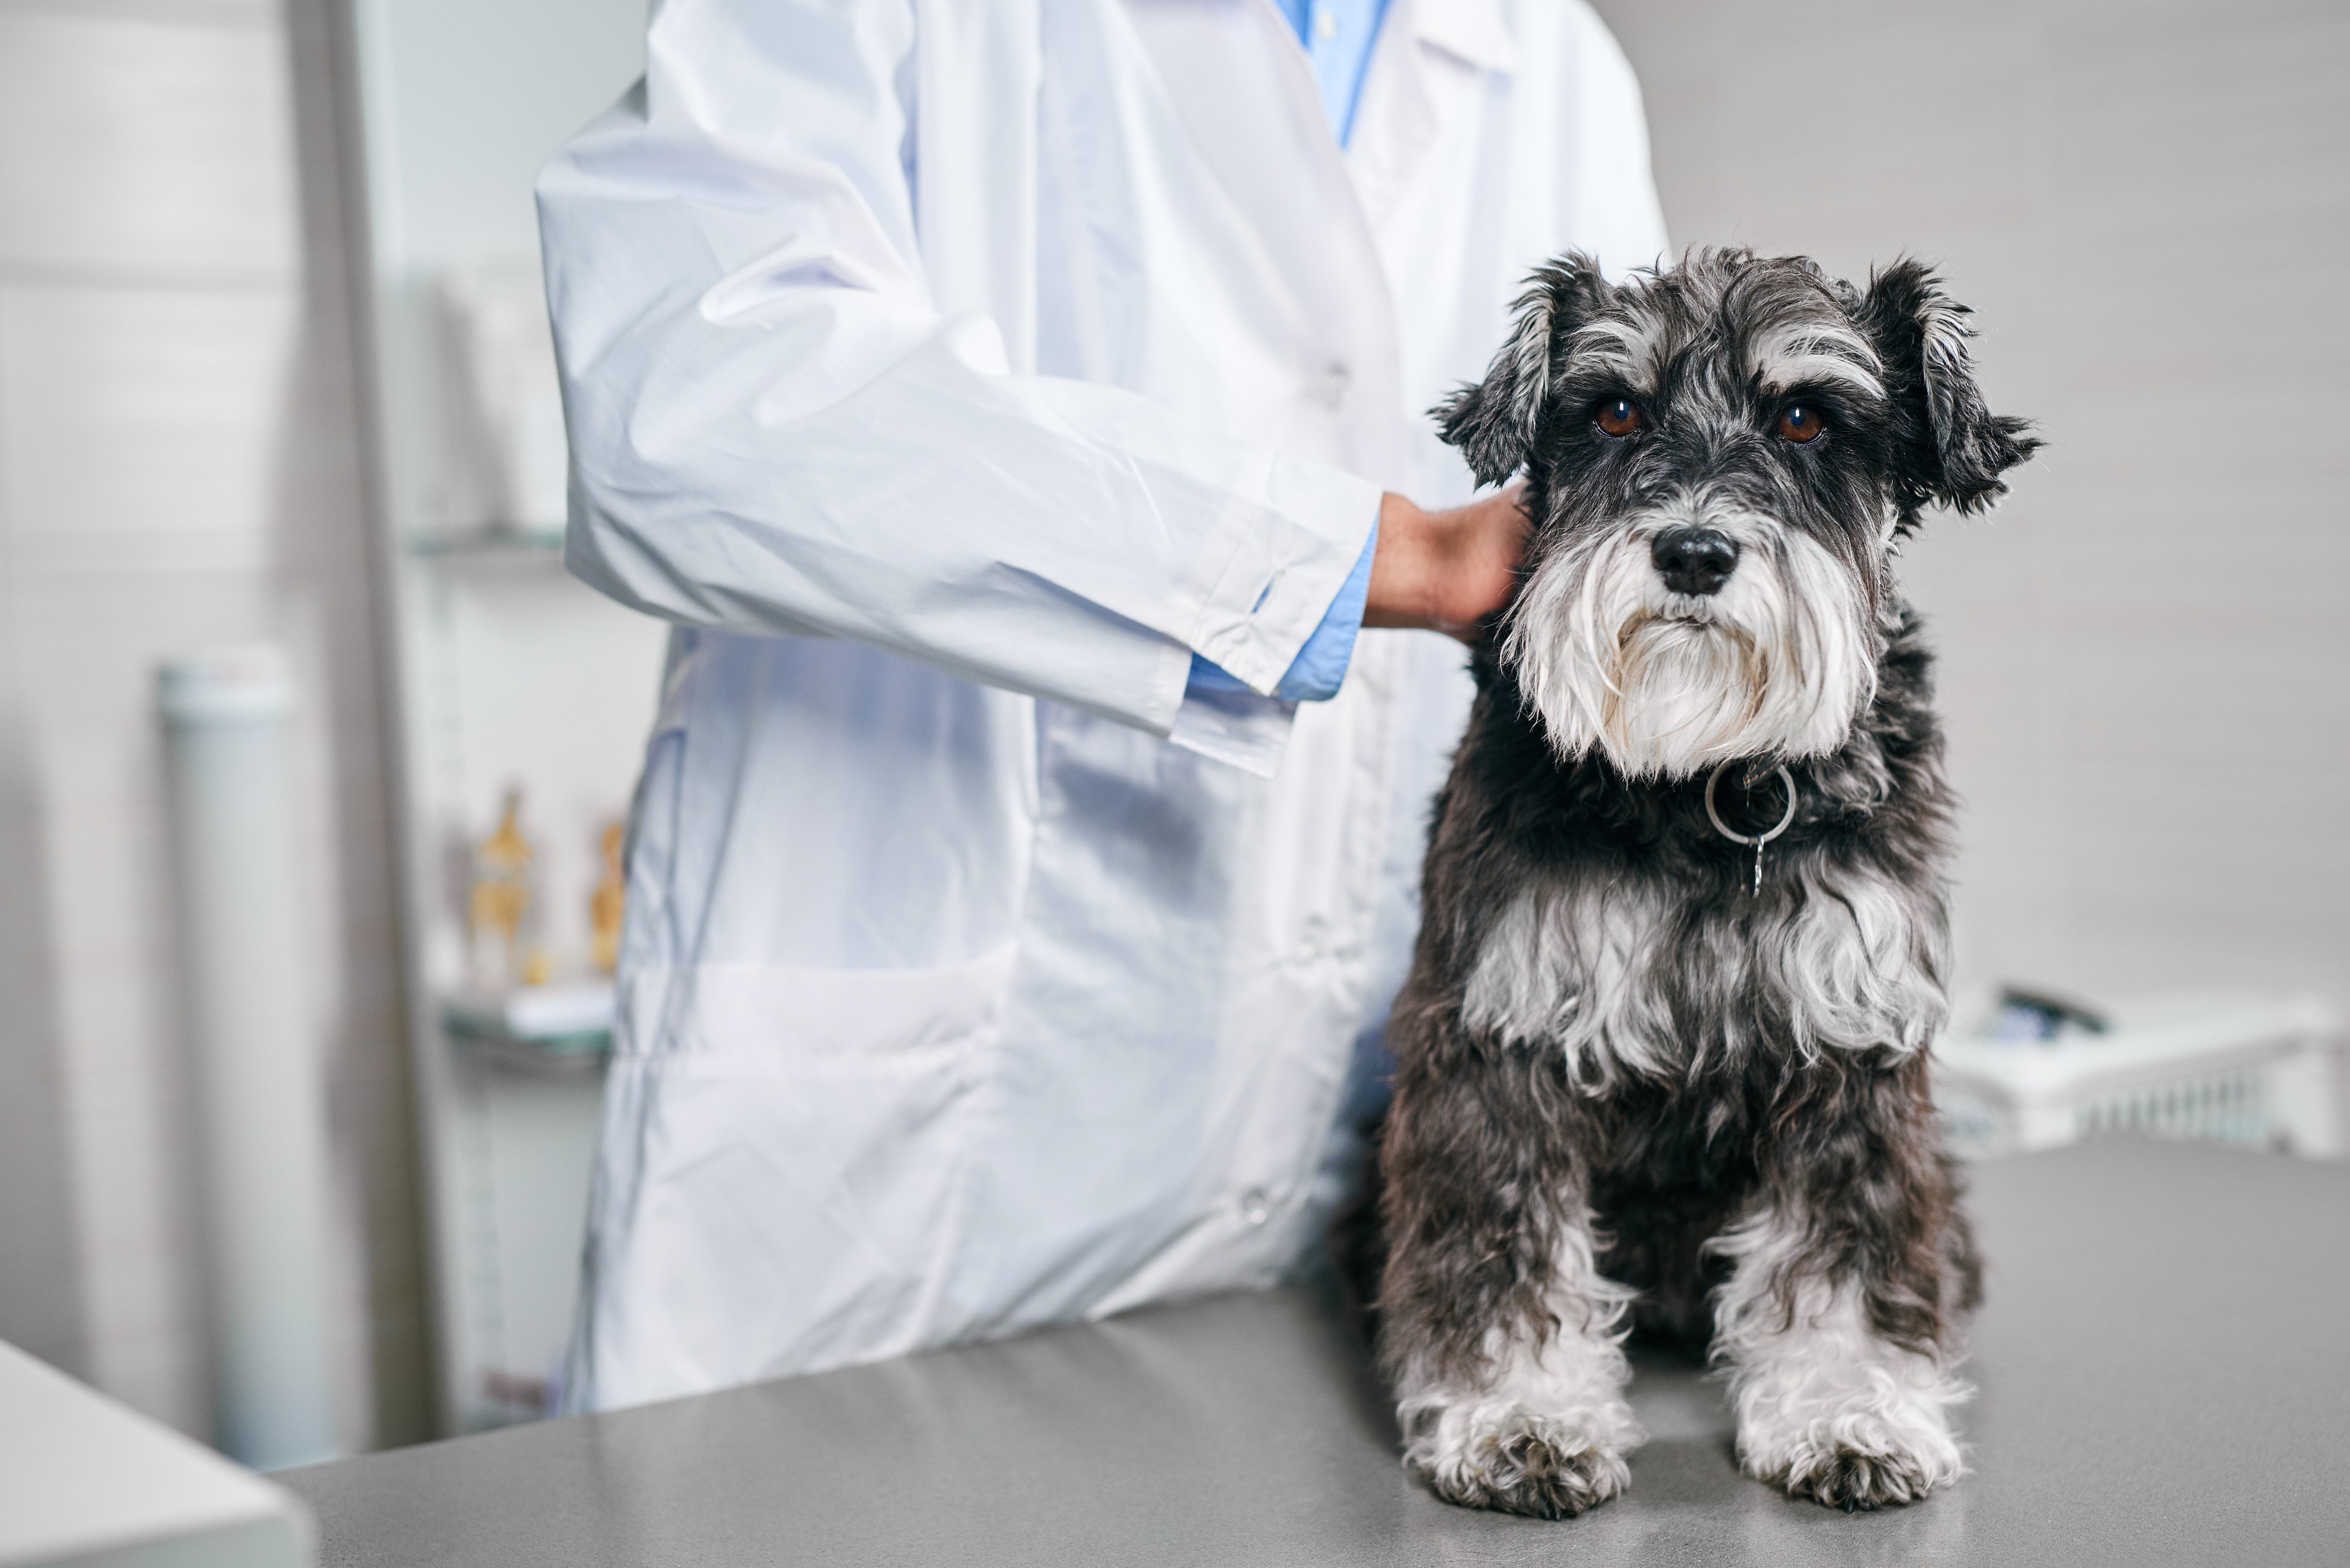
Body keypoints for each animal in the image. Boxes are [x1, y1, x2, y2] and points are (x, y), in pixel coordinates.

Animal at [1372, 248, 2040, 1523]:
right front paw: (1519, 1418)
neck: (1701, 789)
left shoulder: (1850, 1055)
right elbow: (1505, 1246)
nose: (1691, 552)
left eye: (1805, 417)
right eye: (1612, 411)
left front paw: (1849, 1412)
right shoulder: (1497, 1043)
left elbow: (1844, 1254)